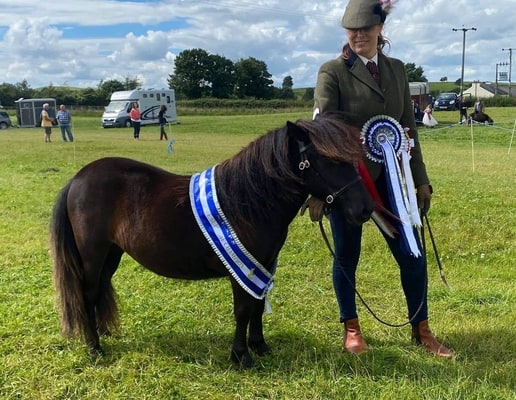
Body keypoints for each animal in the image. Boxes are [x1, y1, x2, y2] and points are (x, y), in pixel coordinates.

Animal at [50, 111, 372, 368]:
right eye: (324, 160)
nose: (365, 209)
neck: (249, 201)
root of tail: (78, 178)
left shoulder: (263, 266)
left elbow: (257, 306)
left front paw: (260, 346)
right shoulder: (244, 270)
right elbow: (243, 310)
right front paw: (241, 356)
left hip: (112, 253)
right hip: (93, 255)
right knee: (87, 293)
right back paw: (94, 347)